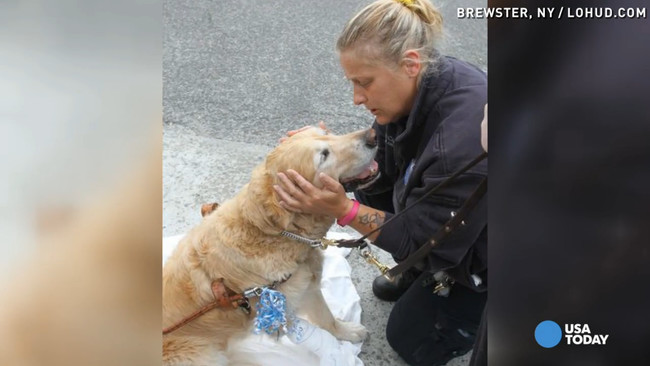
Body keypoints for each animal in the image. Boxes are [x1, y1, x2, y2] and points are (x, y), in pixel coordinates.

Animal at [161, 126, 380, 366]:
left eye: (327, 133)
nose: (373, 135)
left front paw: (346, 331)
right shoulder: (289, 299)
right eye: (324, 155)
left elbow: (326, 317)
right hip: (202, 354)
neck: (274, 232)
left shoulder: (307, 285)